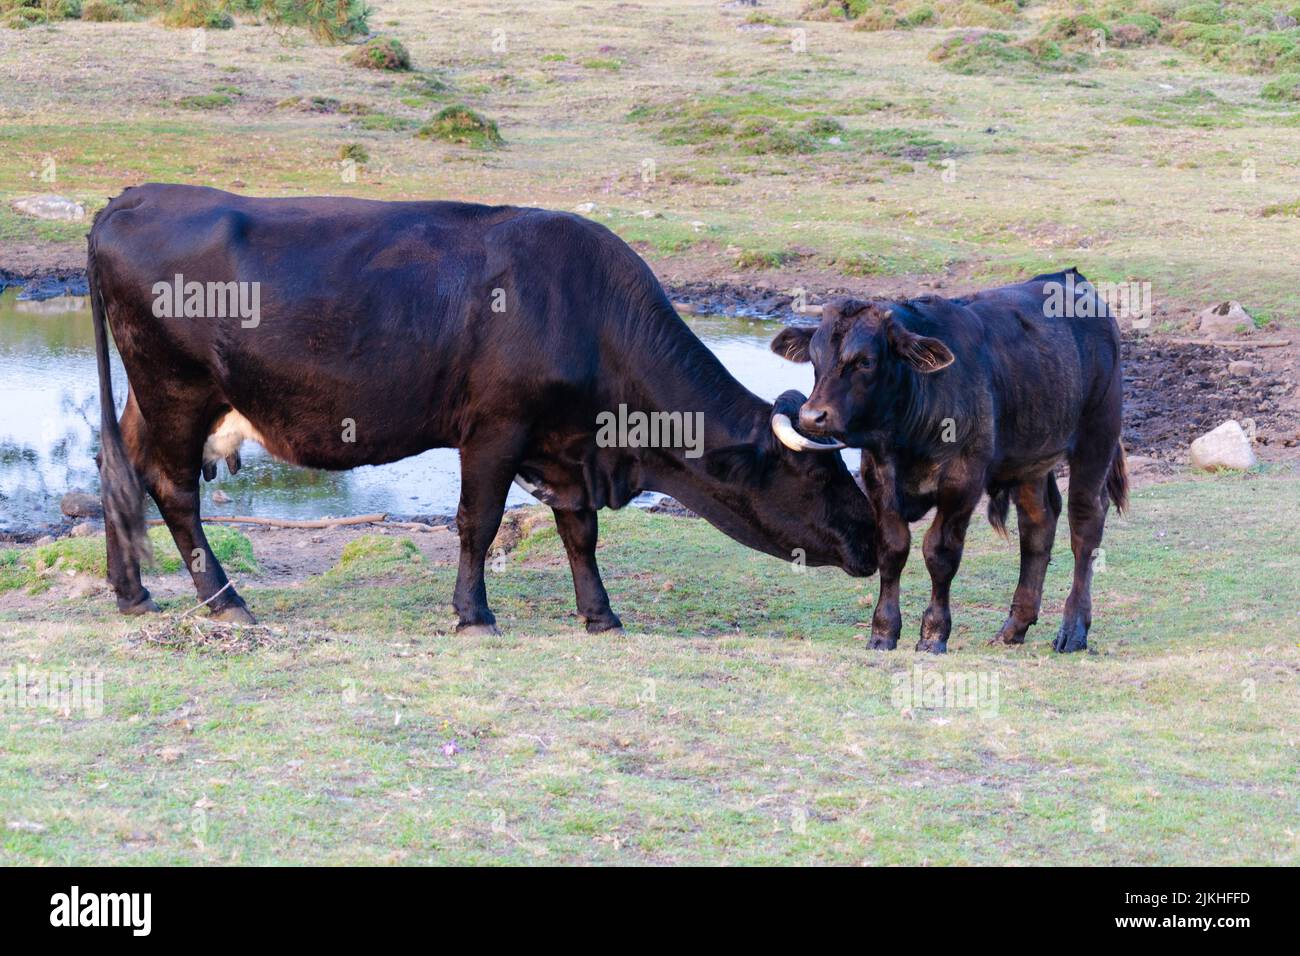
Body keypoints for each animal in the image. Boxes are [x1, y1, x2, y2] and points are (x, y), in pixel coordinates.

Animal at [89, 184, 876, 634]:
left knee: (116, 467)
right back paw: (224, 600)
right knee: (172, 487)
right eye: (821, 475)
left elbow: (580, 533)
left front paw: (601, 614)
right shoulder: (495, 430)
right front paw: (474, 614)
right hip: (178, 388)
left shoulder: (566, 448)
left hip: (149, 395)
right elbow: (478, 522)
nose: (875, 537)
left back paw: (132, 592)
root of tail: (133, 197)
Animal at [770, 269, 1127, 654]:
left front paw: (934, 633)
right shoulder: (877, 477)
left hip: (1097, 437)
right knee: (1037, 524)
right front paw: (883, 632)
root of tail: (1070, 279)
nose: (812, 416)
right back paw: (1014, 627)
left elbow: (939, 553)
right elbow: (892, 549)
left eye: (865, 361)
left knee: (1085, 524)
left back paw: (1073, 630)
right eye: (815, 358)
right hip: (1031, 458)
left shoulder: (963, 481)